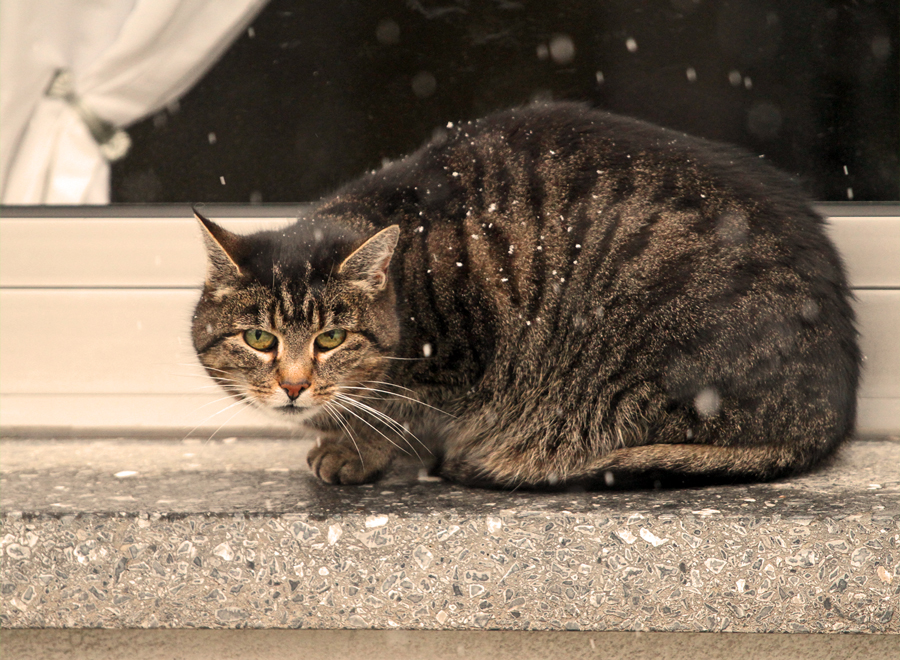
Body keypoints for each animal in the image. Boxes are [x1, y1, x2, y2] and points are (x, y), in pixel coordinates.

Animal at [193, 99, 860, 490]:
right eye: (259, 338)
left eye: (330, 338)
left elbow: (398, 413)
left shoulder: (460, 362)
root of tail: (833, 414)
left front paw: (356, 449)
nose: (293, 385)